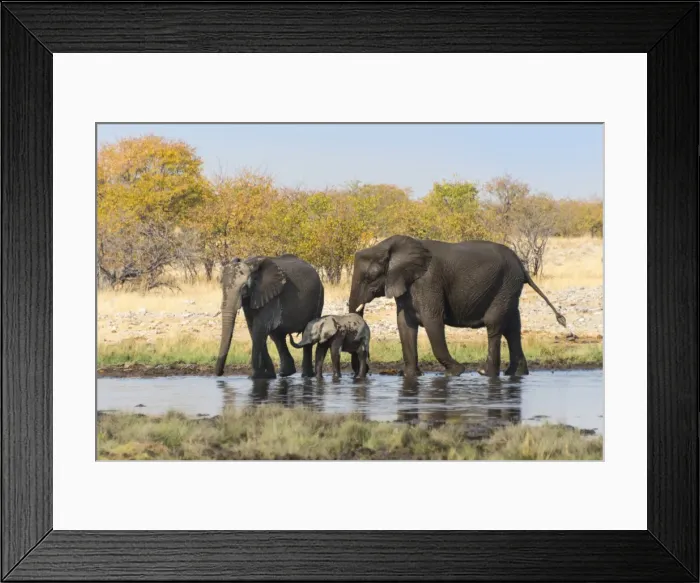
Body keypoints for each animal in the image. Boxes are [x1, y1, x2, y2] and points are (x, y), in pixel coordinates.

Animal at [347, 235, 572, 378]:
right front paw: (409, 376)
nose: (362, 372)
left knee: (494, 325)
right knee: (513, 327)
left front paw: (456, 372)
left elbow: (432, 321)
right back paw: (515, 374)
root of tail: (522, 267)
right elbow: (405, 325)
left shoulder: (428, 281)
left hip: (505, 284)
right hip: (510, 288)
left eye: (370, 276)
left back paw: (486, 373)